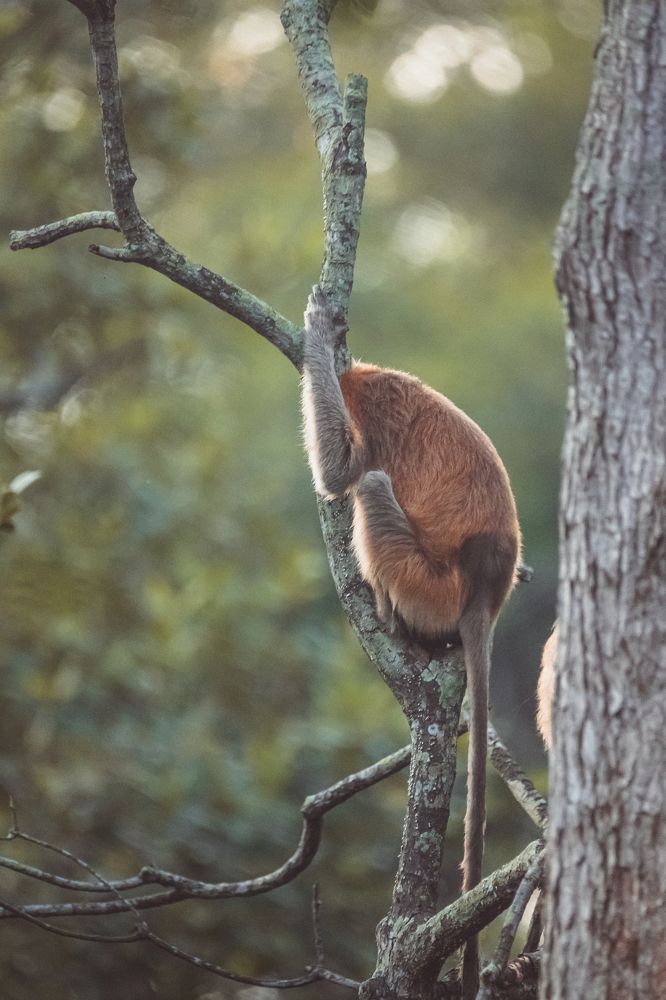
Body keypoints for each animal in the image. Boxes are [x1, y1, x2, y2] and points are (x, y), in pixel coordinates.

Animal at [301, 286, 521, 999]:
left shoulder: (374, 415)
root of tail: (485, 591)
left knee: (369, 486)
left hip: (426, 583)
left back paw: (391, 620)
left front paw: (318, 335)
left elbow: (340, 471)